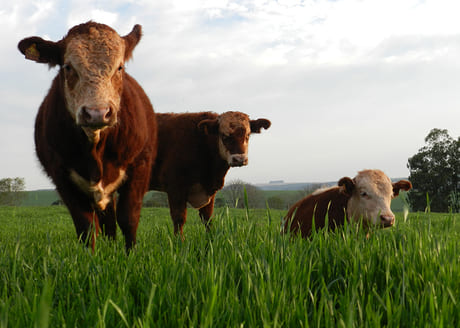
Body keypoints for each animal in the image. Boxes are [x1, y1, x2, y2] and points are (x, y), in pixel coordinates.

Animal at [18, 21, 158, 250]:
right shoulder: (61, 175)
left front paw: (131, 254)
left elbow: (129, 218)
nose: (97, 113)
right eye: (68, 67)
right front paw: (91, 256)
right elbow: (86, 226)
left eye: (119, 67)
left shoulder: (140, 165)